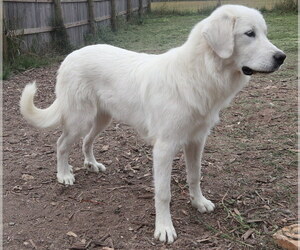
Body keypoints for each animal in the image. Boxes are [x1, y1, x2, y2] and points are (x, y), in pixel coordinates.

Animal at [19, 4, 284, 244]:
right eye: (249, 33)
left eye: (264, 33)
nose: (281, 57)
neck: (199, 73)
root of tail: (70, 56)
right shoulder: (164, 148)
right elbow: (163, 193)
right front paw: (164, 229)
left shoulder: (196, 141)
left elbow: (195, 176)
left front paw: (198, 202)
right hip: (79, 120)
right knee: (61, 144)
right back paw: (64, 175)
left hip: (102, 119)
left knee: (86, 142)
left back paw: (91, 164)